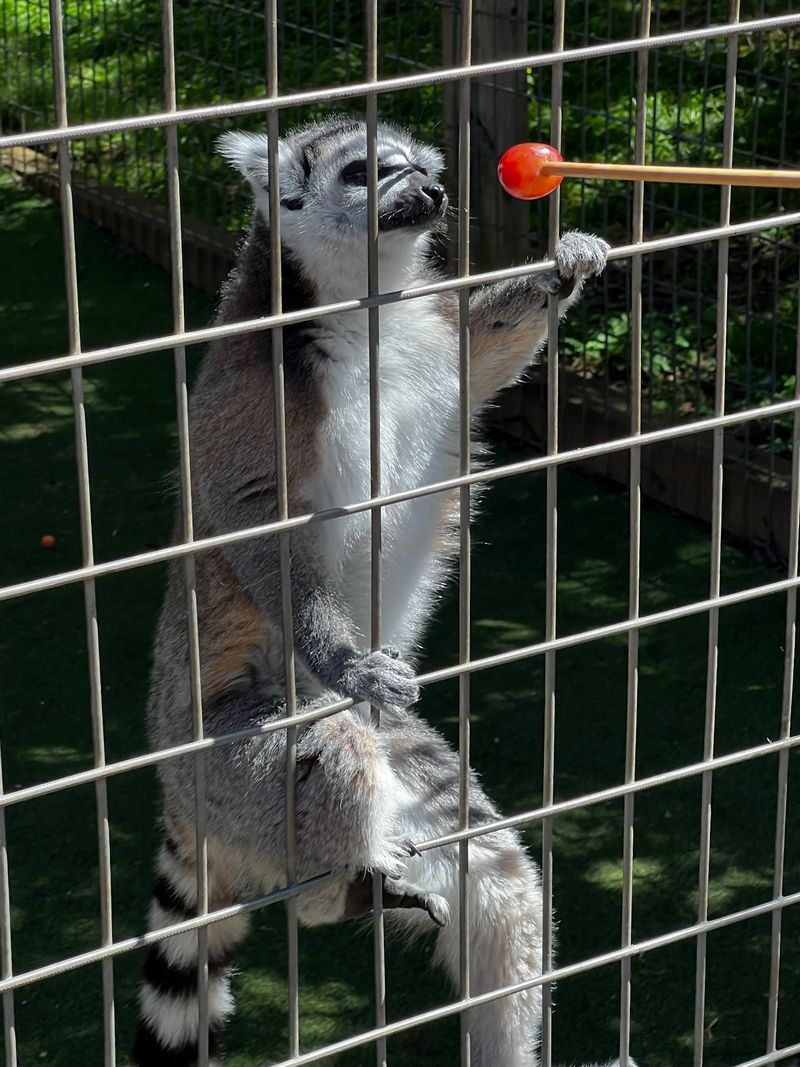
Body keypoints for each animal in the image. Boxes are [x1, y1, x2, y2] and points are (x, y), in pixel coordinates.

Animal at [132, 116, 616, 1067]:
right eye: (366, 172)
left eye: (421, 168)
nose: (433, 193)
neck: (364, 313)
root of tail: (176, 789)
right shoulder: (254, 388)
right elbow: (253, 520)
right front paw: (348, 658)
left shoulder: (434, 335)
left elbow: (486, 355)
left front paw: (565, 264)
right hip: (227, 767)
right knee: (326, 751)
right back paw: (338, 887)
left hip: (412, 770)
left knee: (498, 879)